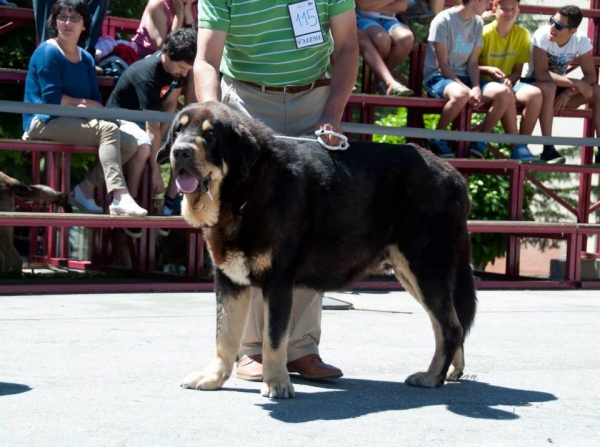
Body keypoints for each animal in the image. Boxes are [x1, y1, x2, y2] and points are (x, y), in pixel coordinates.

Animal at [159, 101, 478, 400]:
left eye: (211, 135)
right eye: (178, 131)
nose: (181, 152)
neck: (243, 193)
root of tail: (456, 177)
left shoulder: (278, 280)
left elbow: (274, 339)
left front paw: (276, 383)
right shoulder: (230, 279)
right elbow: (224, 335)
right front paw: (214, 377)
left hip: (425, 267)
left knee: (450, 326)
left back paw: (432, 377)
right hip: (411, 272)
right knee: (452, 322)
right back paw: (451, 371)